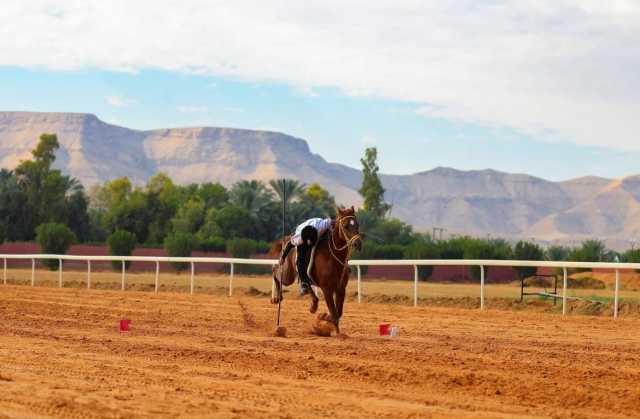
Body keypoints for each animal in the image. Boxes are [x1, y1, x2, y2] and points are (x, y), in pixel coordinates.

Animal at [270, 205, 360, 336]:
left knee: (306, 283)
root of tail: (287, 237)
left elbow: (338, 312)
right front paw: (337, 333)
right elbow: (334, 313)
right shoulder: (327, 289)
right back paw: (277, 298)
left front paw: (325, 318)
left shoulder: (341, 288)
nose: (358, 243)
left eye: (357, 224)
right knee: (276, 271)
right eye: (345, 226)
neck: (332, 257)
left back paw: (314, 303)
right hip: (288, 274)